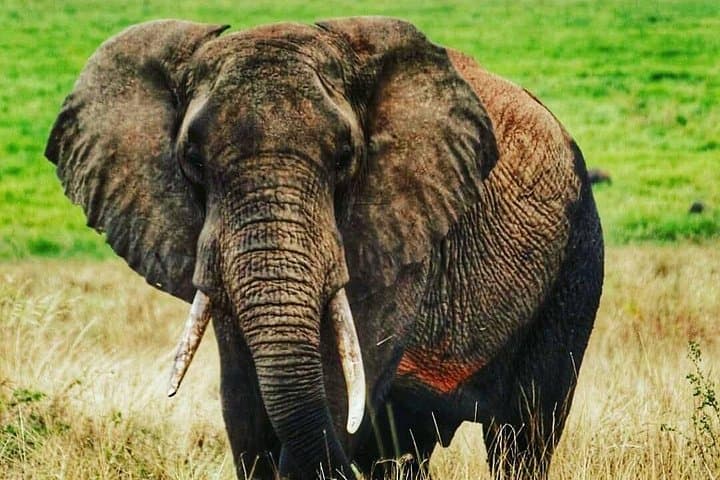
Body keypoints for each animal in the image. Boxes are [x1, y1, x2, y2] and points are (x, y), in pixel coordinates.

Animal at [45, 17, 604, 480]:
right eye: (193, 161)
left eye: (344, 158)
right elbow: (244, 410)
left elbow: (341, 390)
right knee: (408, 450)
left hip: (578, 257)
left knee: (524, 432)